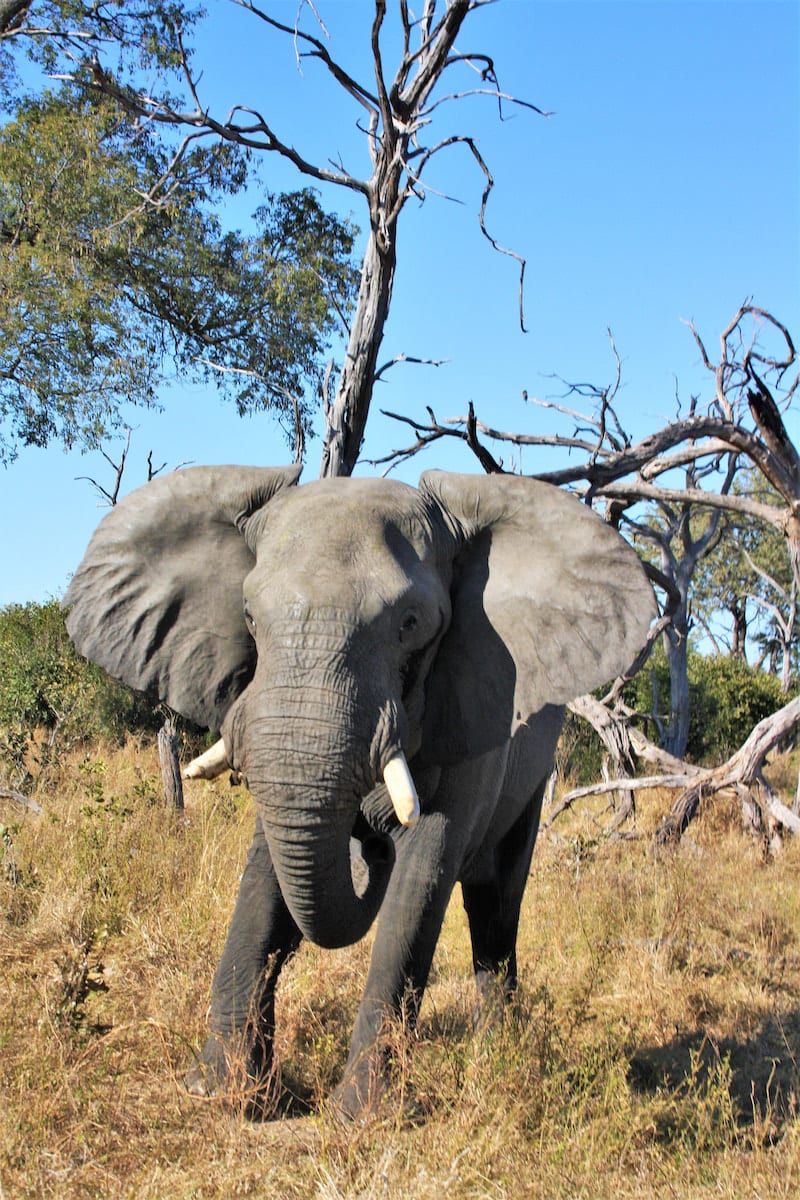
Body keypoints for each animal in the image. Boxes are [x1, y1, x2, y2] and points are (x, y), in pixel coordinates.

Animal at [64, 463, 657, 1118]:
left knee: (496, 902)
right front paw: (220, 1092)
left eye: (410, 625)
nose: (371, 840)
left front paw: (362, 1116)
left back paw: (496, 1059)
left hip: (532, 776)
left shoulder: (474, 709)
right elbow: (265, 877)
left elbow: (417, 886)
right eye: (249, 617)